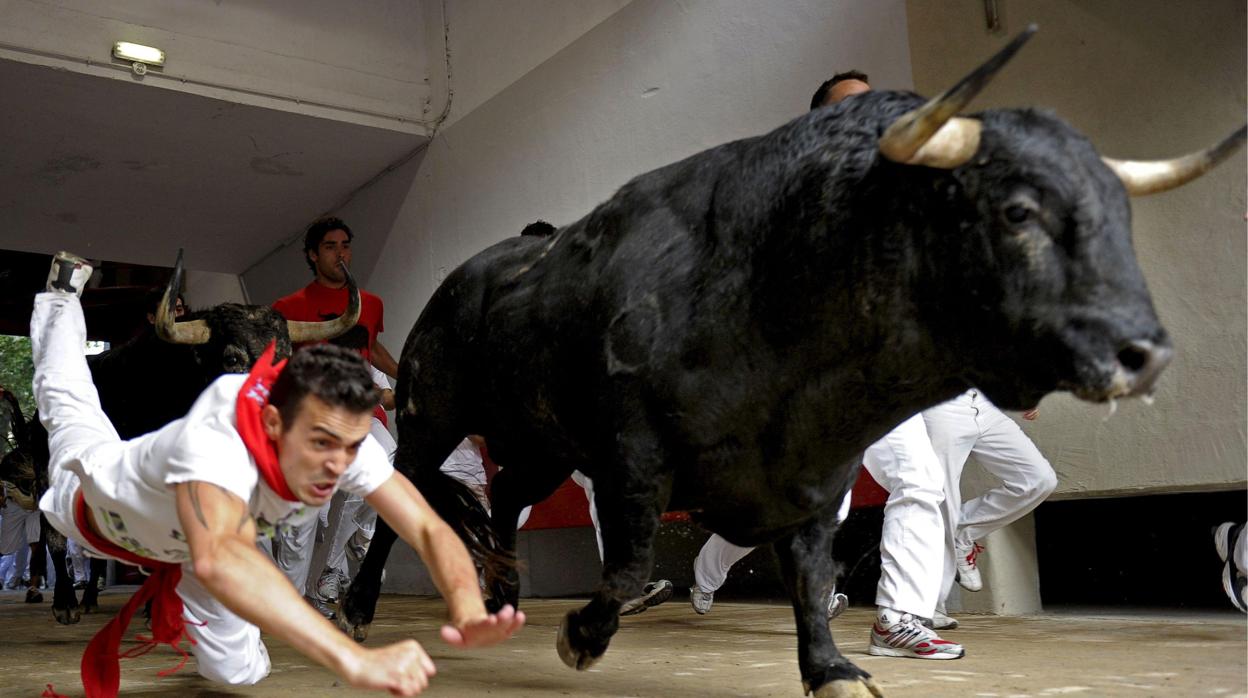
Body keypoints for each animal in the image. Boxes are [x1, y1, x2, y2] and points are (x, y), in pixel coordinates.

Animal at [336, 29, 1243, 694]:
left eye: (1120, 214)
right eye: (1018, 210)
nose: (1144, 351)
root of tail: (463, 277)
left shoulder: (817, 473)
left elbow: (810, 576)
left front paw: (834, 670)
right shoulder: (633, 455)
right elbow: (629, 568)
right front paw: (582, 636)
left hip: (541, 441)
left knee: (504, 501)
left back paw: (503, 594)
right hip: (430, 417)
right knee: (401, 503)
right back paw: (358, 607)